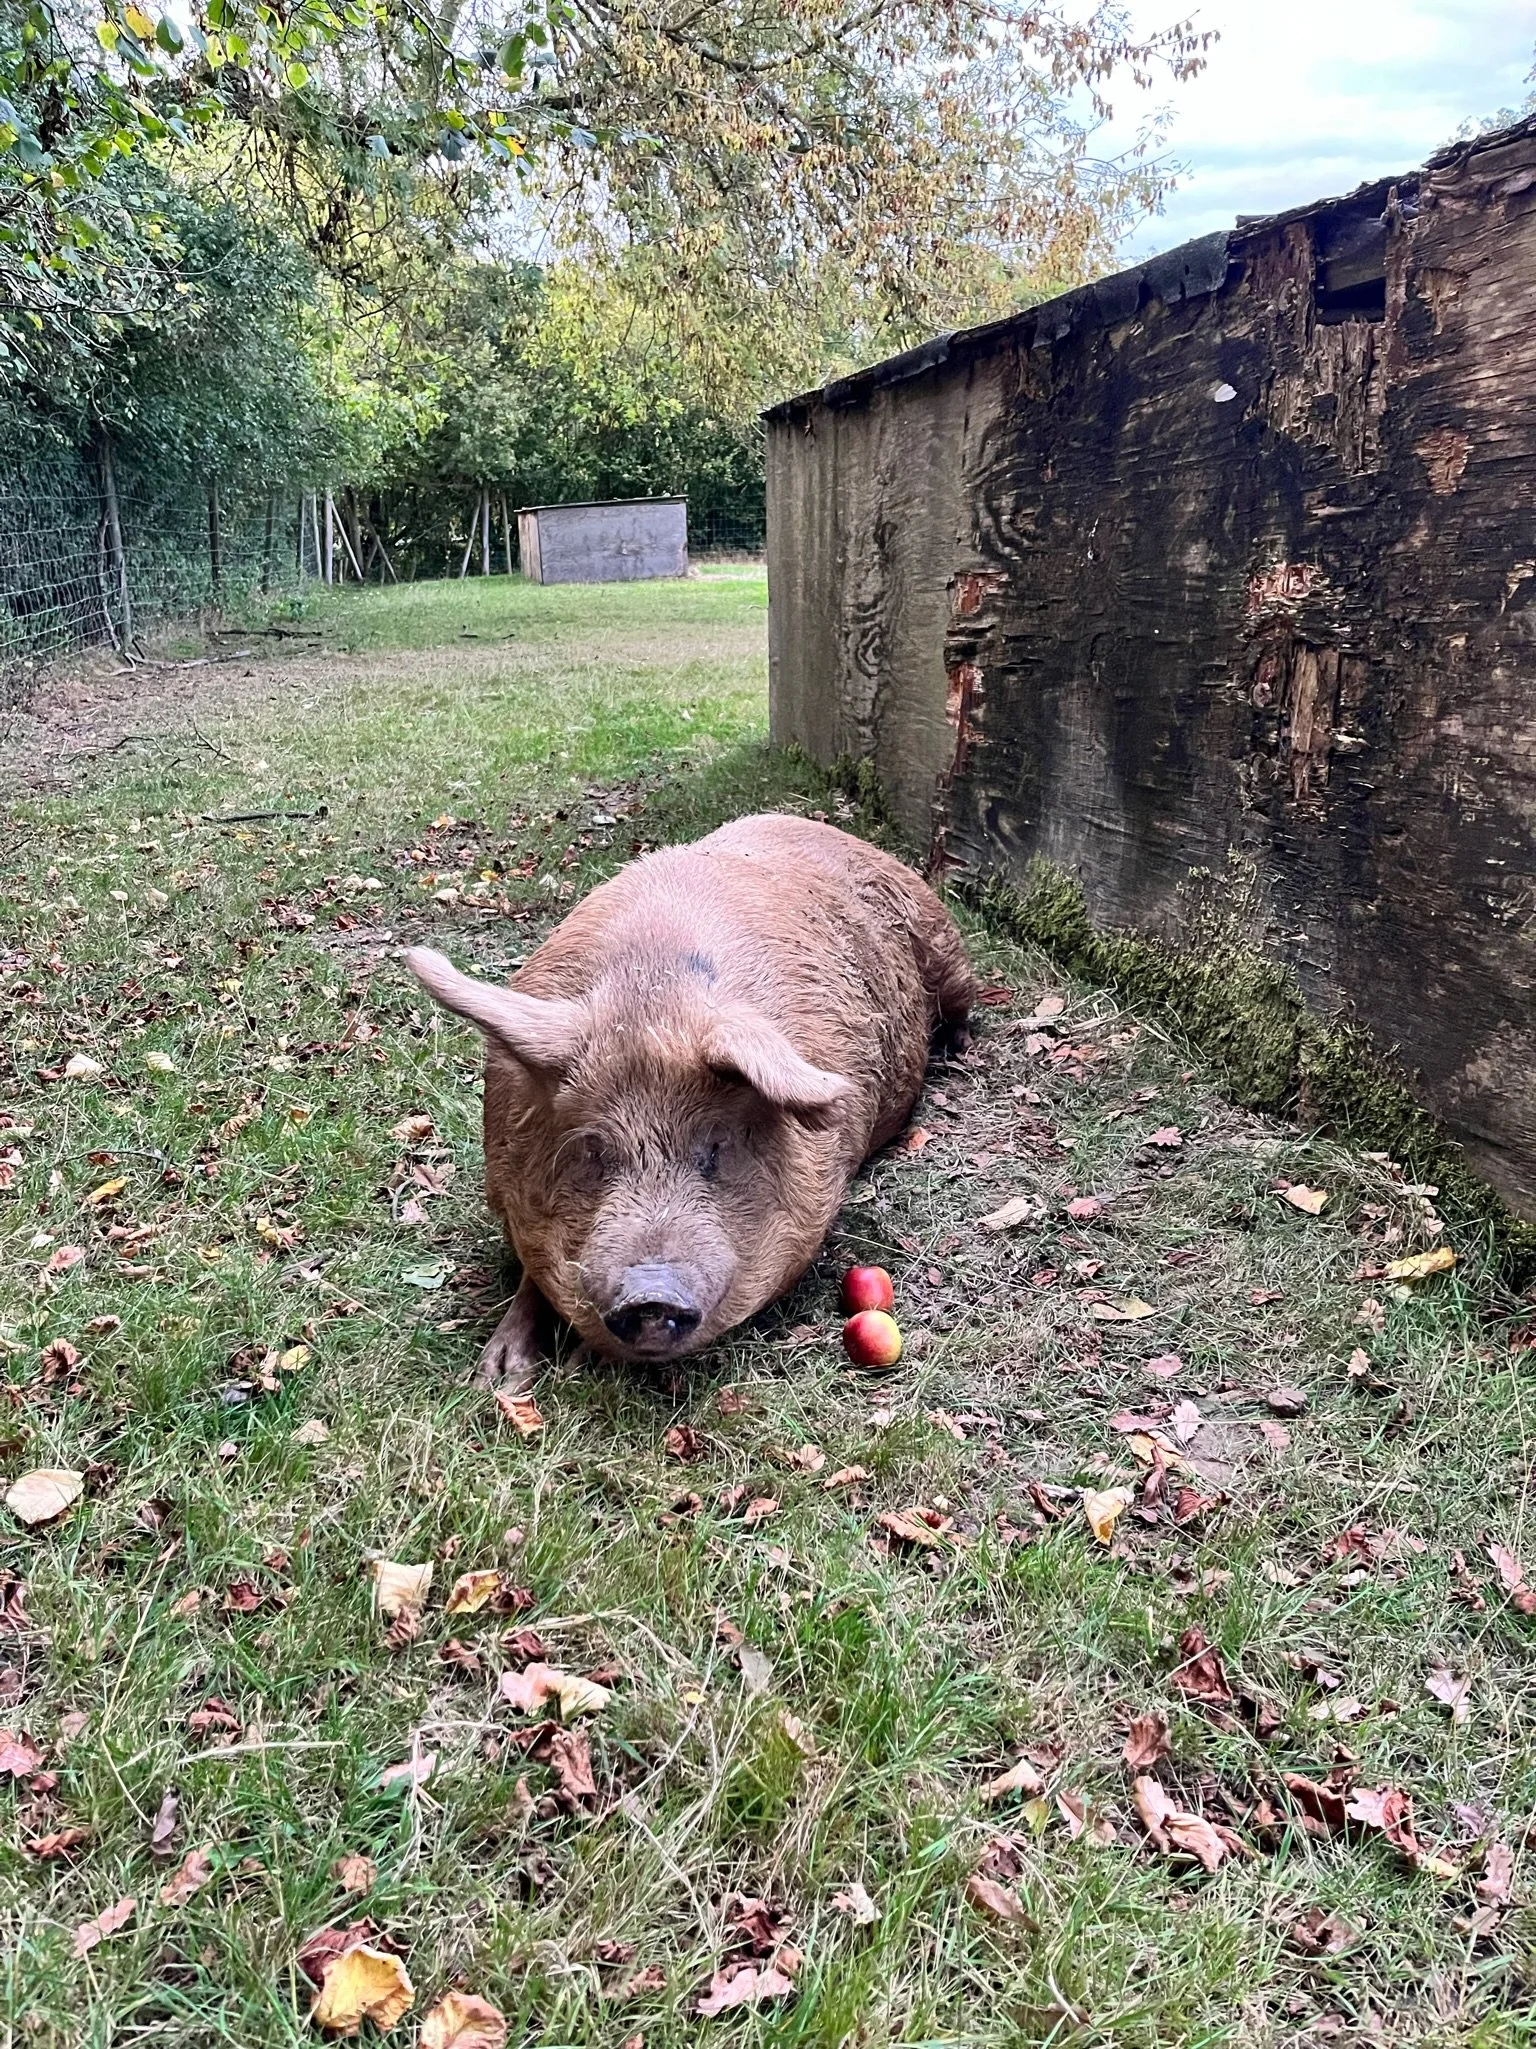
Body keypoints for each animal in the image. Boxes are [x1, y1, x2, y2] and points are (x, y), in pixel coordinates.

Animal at [406, 812, 973, 1387]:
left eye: (716, 1148)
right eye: (591, 1148)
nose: (650, 1293)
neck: (655, 1002)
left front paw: (575, 1363)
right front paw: (497, 1378)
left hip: (948, 954)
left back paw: (957, 1047)